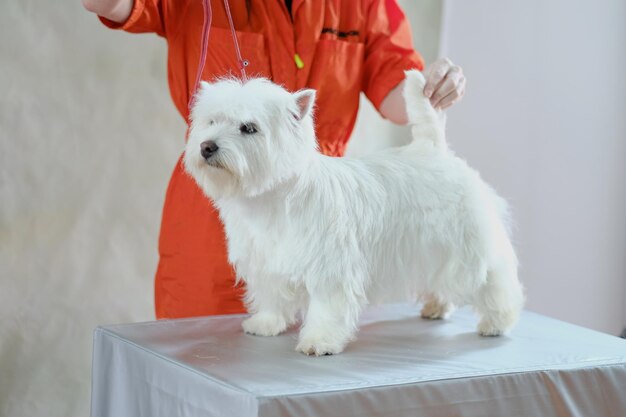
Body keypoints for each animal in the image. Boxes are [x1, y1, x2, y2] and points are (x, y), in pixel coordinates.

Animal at [184, 70, 520, 354]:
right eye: (211, 122)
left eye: (248, 128)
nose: (206, 147)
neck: (272, 198)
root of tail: (432, 148)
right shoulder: (265, 262)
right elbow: (271, 296)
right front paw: (265, 324)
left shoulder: (330, 266)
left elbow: (327, 307)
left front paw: (319, 342)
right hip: (433, 249)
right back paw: (437, 307)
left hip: (466, 242)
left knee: (494, 277)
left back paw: (496, 321)